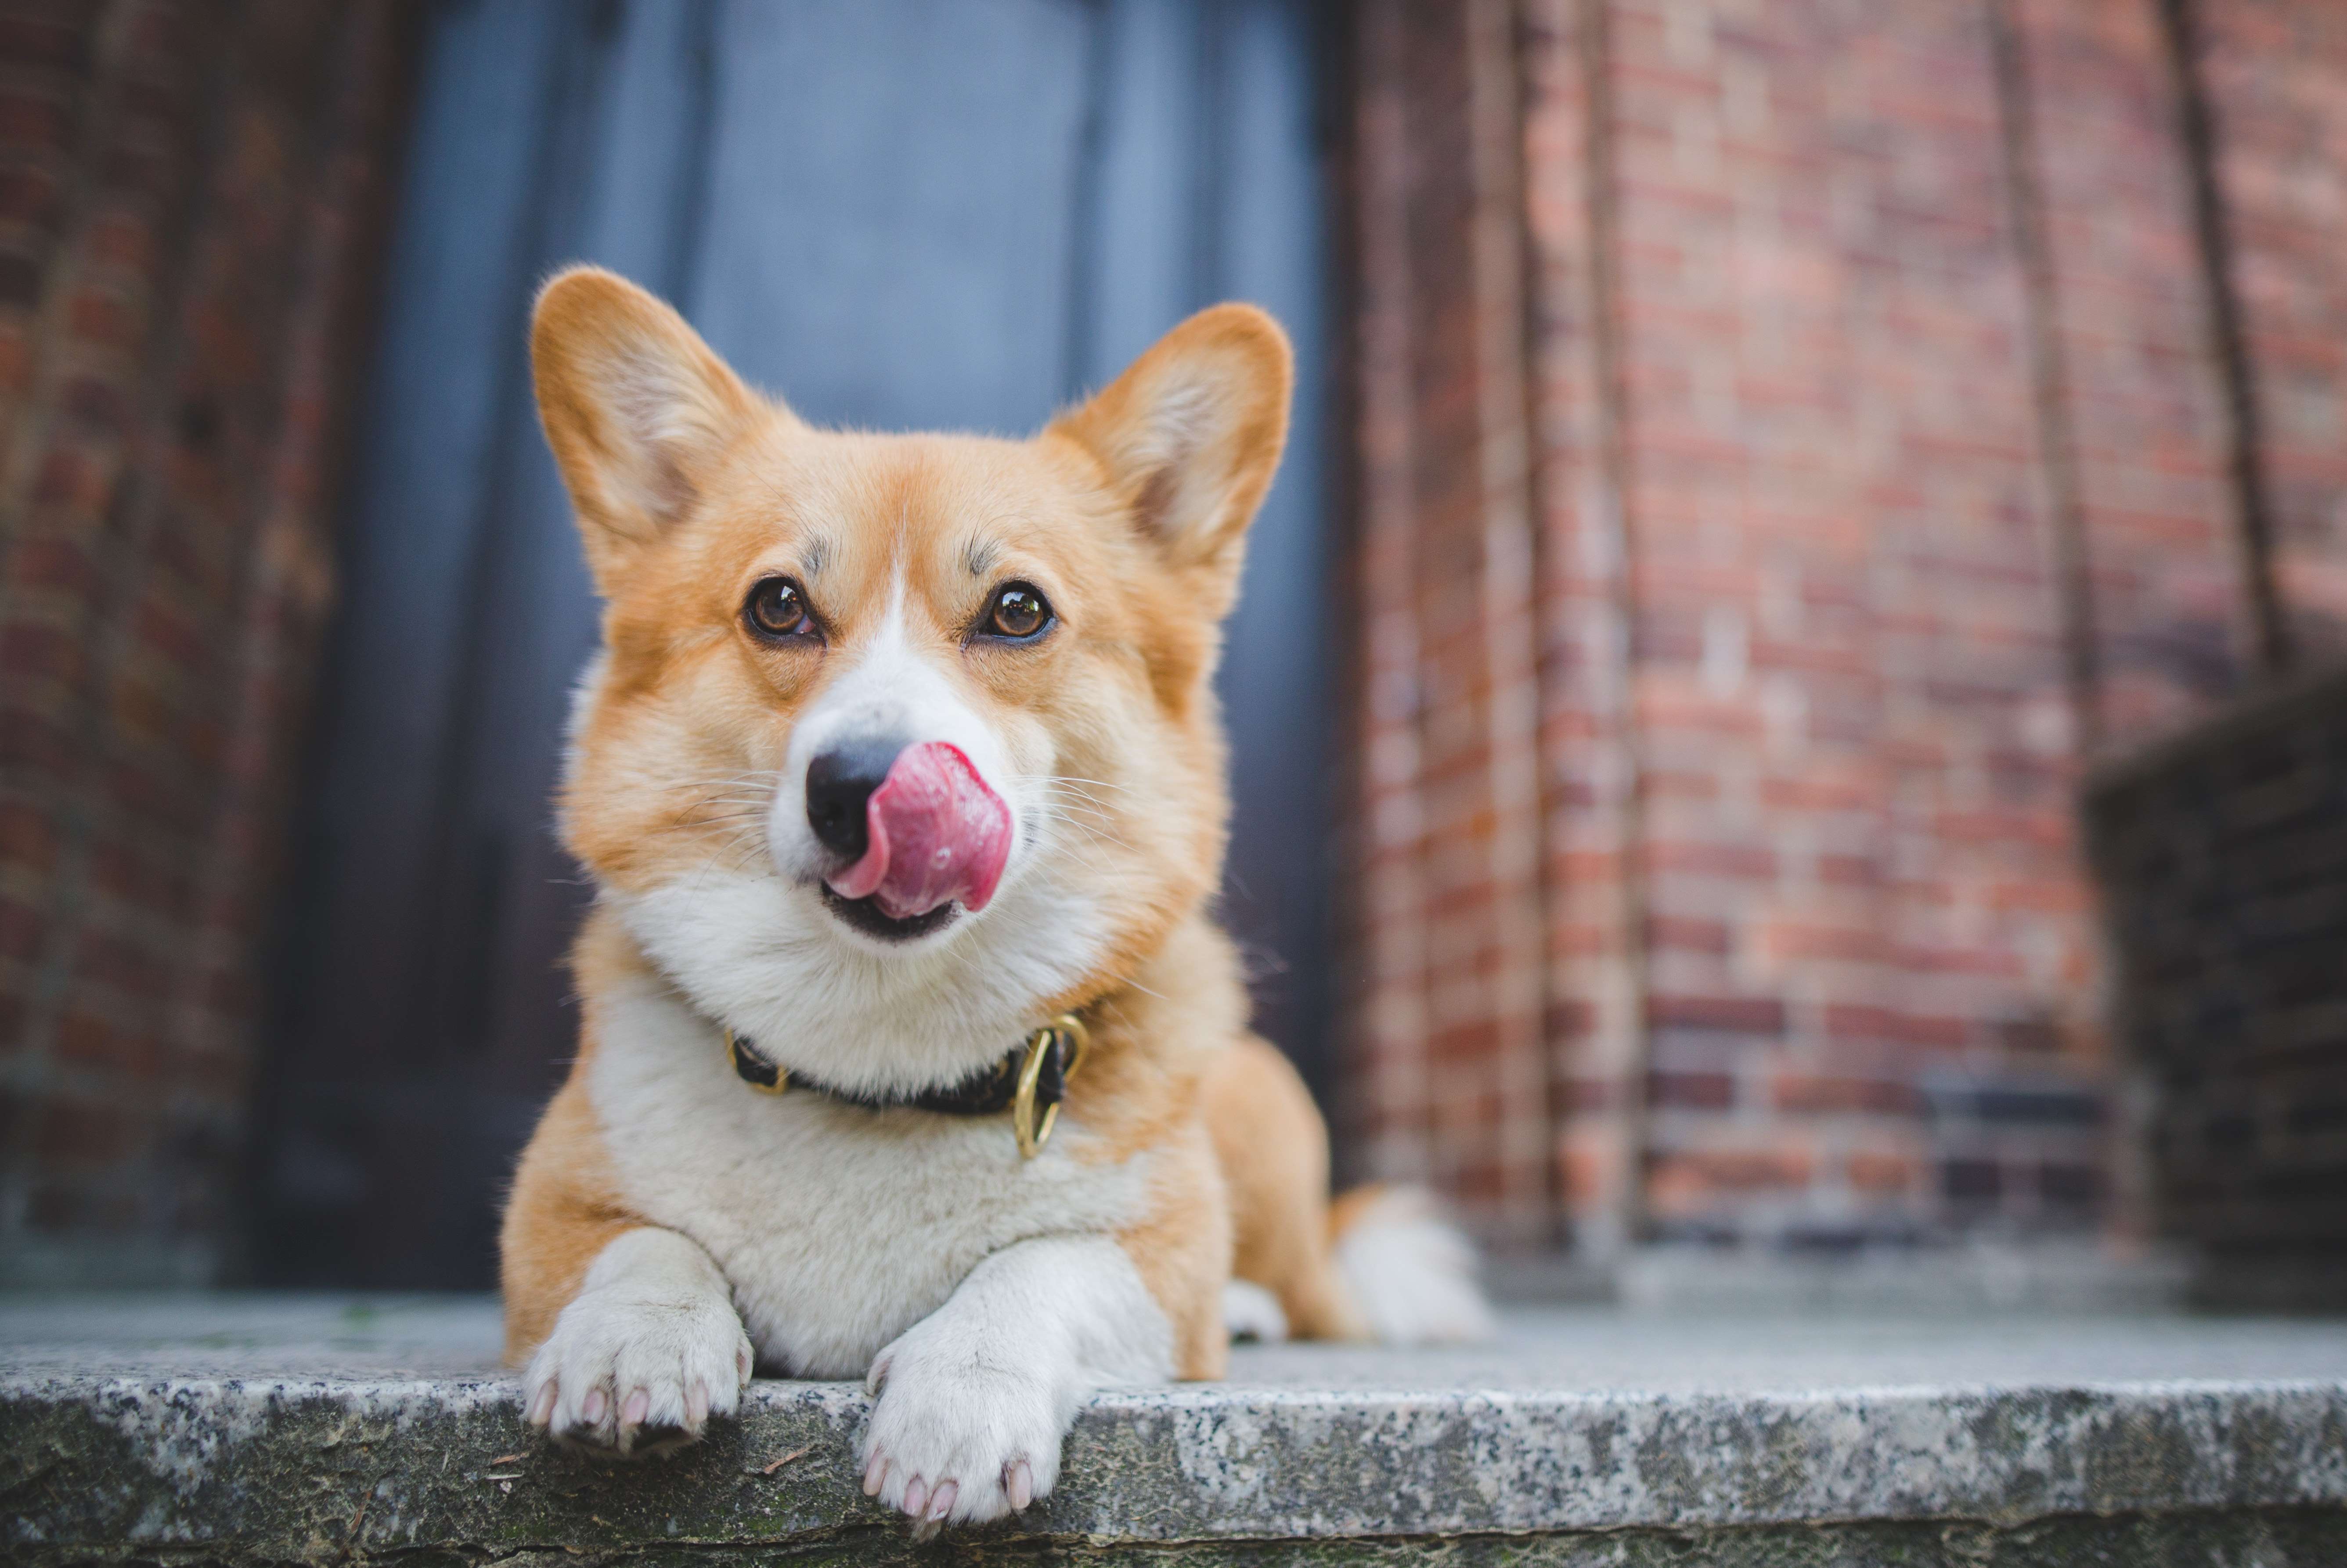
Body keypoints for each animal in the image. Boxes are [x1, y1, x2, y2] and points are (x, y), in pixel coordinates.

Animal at [502, 266, 1493, 1530]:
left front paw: (957, 1405)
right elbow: (640, 1243)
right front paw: (631, 1344)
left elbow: (1040, 1264)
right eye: (777, 606)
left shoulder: (1151, 1262)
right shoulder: (547, 1213)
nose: (861, 787)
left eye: (1018, 611)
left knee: (1302, 1287)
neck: (879, 1065)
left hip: (1264, 1108)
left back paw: (1258, 1307)